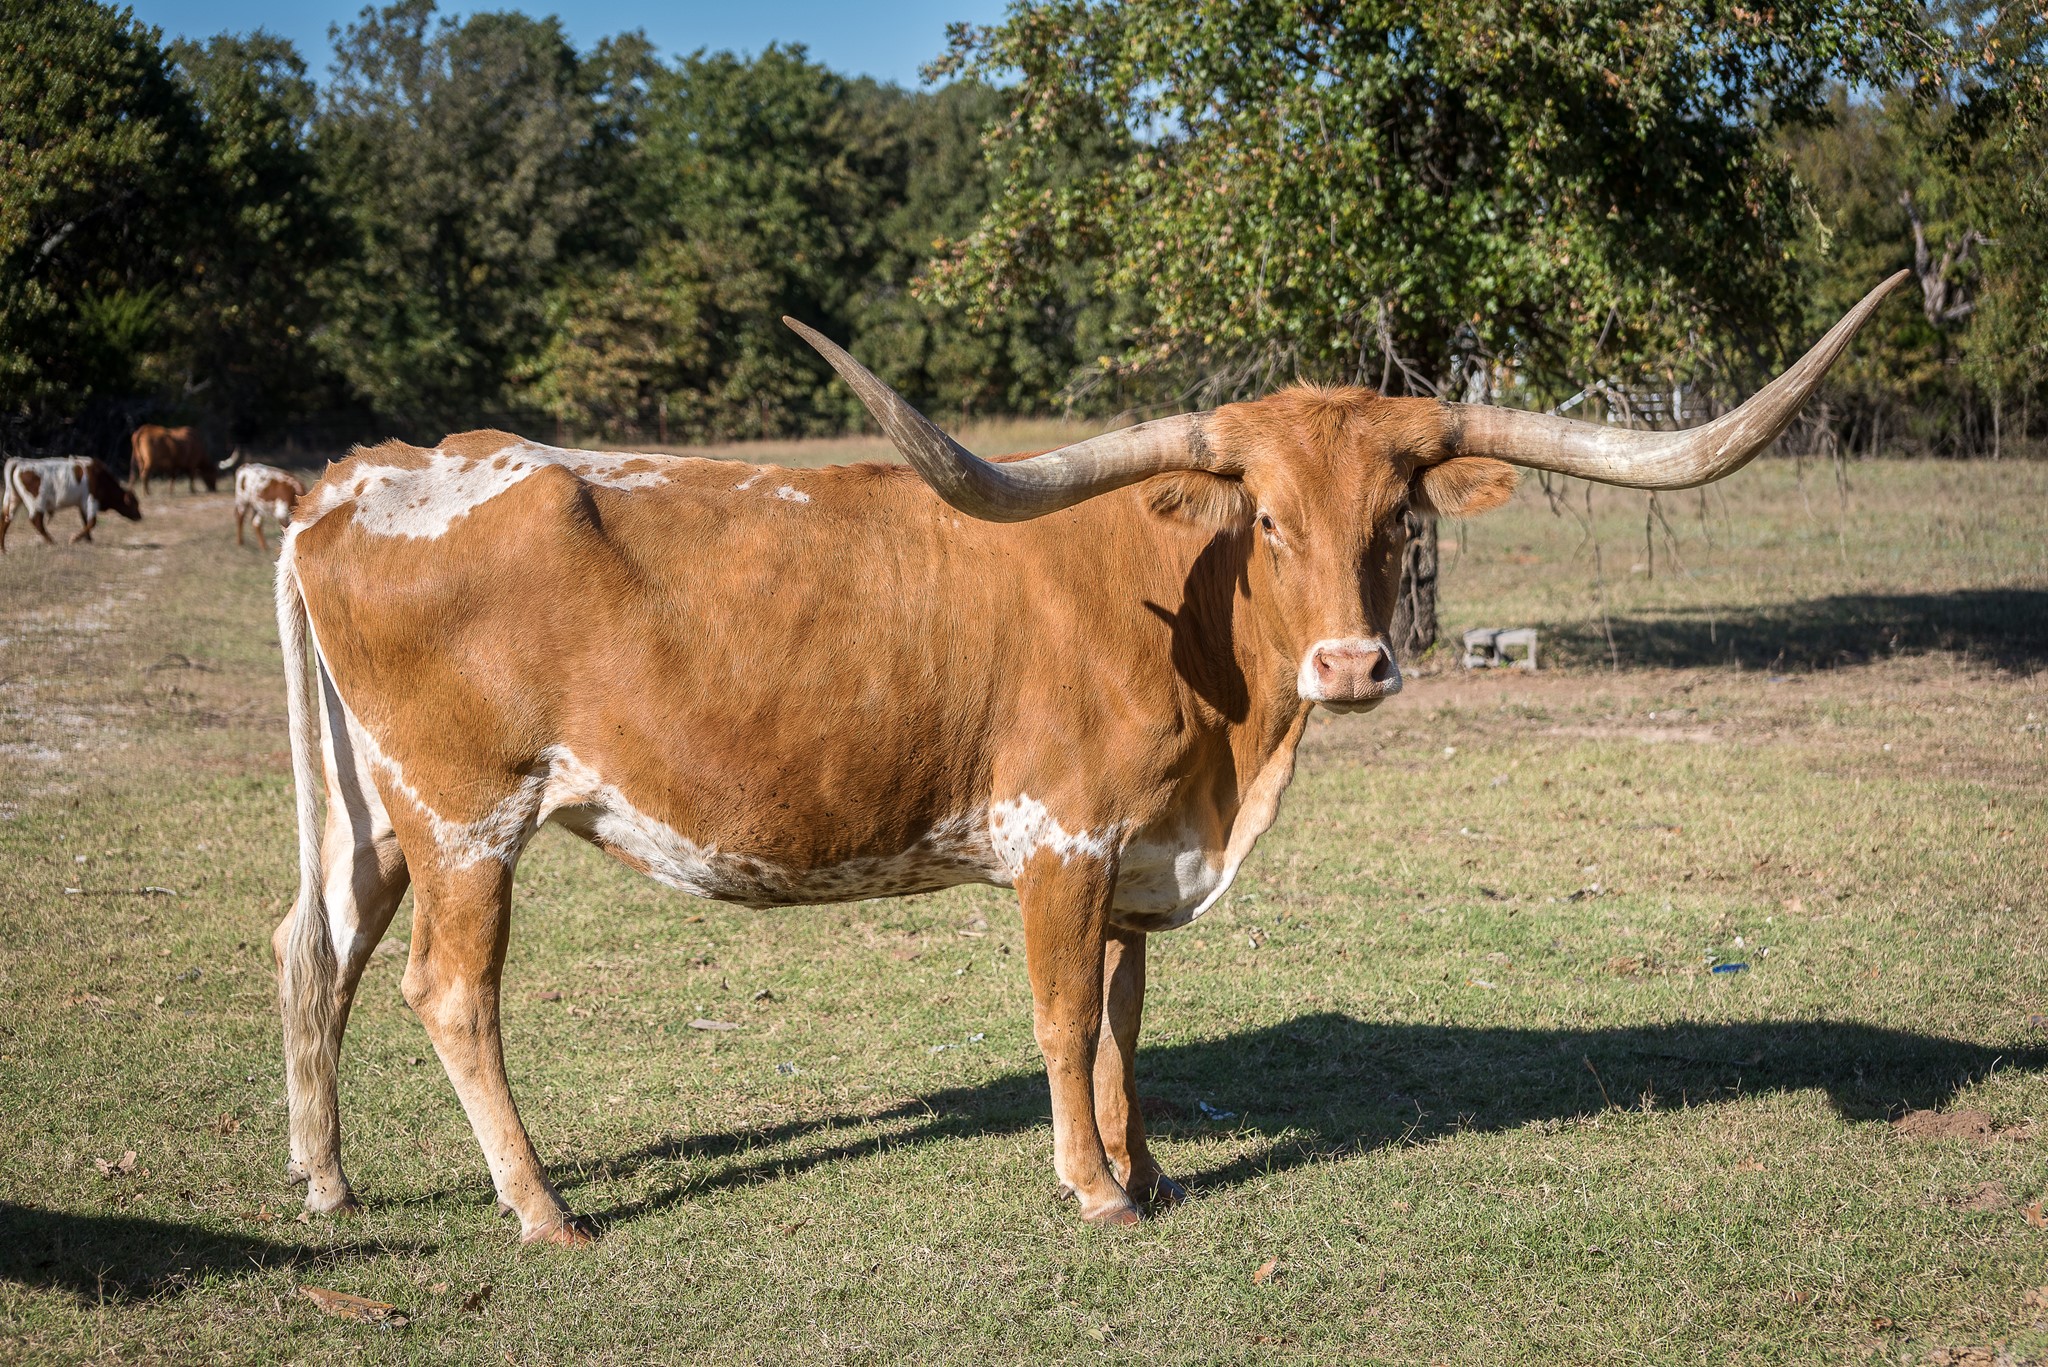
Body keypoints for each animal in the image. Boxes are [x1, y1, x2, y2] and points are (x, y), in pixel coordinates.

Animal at [1, 456, 142, 552]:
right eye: (134, 504)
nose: (140, 516)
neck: (100, 478)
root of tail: (20, 462)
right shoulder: (91, 500)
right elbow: (92, 522)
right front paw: (74, 539)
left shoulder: (82, 504)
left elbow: (85, 521)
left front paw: (89, 540)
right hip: (36, 503)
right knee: (36, 521)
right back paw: (52, 542)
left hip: (13, 498)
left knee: (6, 519)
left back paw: (3, 549)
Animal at [272, 273, 1908, 1243]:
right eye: (1268, 518)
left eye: (1400, 516)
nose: (1352, 665)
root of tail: (356, 476)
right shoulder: (1058, 843)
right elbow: (1064, 1021)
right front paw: (1091, 1189)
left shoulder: (1139, 855)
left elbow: (1128, 1022)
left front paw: (1149, 1166)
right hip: (467, 812)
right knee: (446, 990)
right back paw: (543, 1209)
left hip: (372, 809)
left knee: (315, 945)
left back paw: (329, 1177)